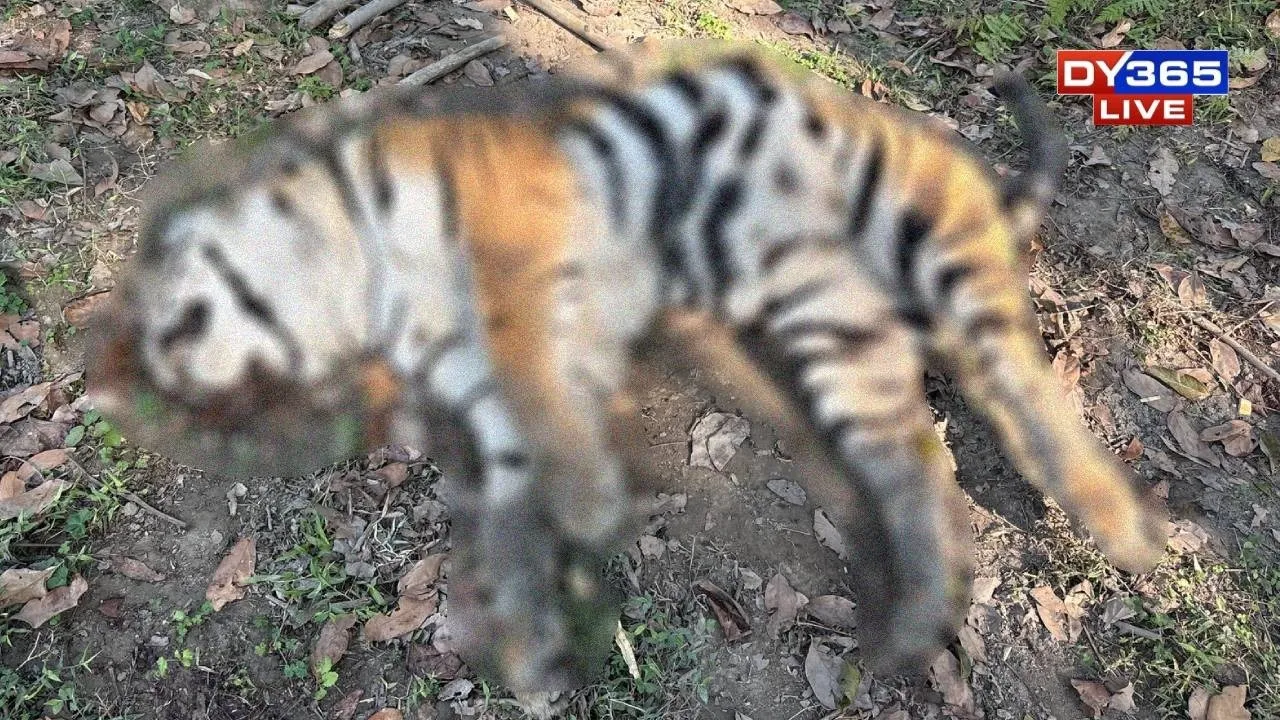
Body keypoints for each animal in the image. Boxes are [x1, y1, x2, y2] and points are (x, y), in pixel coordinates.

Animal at [87, 38, 1168, 703]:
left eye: (171, 319)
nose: (156, 385)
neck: (360, 275)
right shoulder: (492, 398)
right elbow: (513, 507)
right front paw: (531, 656)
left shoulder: (512, 246)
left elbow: (532, 372)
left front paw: (591, 508)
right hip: (826, 318)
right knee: (915, 453)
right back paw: (909, 625)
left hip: (921, 232)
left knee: (1019, 383)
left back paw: (1125, 533)